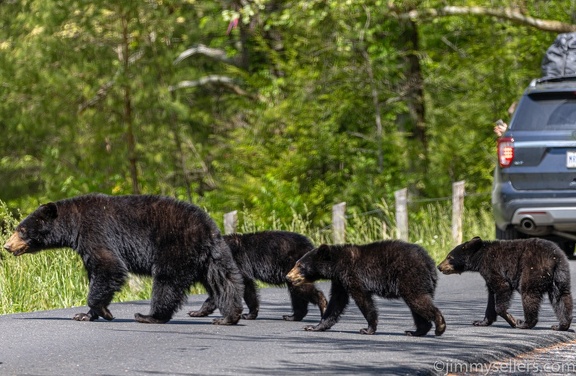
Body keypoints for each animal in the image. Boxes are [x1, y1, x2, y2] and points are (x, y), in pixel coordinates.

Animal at [3, 192, 244, 324]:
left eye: (22, 230)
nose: (6, 245)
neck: (74, 224)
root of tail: (208, 228)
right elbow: (97, 274)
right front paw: (85, 315)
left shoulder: (95, 233)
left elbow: (109, 267)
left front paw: (104, 312)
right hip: (212, 257)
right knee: (225, 282)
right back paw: (228, 317)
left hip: (176, 249)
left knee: (167, 282)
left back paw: (150, 316)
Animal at [286, 239, 448, 336]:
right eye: (296, 263)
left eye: (300, 266)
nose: (288, 277)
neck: (337, 265)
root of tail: (429, 262)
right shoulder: (340, 281)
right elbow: (337, 302)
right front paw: (315, 326)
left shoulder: (352, 275)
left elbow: (362, 299)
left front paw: (368, 328)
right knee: (417, 306)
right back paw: (416, 331)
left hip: (410, 277)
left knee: (417, 300)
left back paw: (439, 325)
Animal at [440, 236, 572, 330]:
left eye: (449, 257)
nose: (439, 267)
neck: (480, 257)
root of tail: (554, 257)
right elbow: (491, 298)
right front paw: (480, 322)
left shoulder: (492, 268)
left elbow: (502, 288)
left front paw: (513, 320)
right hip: (560, 274)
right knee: (561, 296)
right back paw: (561, 325)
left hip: (533, 269)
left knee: (529, 293)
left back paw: (525, 323)